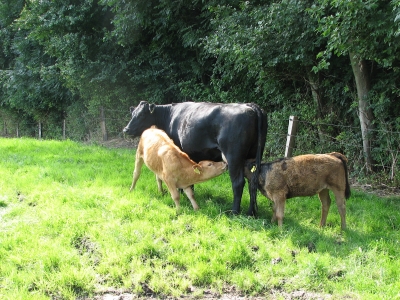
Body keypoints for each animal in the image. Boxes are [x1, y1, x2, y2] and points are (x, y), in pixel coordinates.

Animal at [123, 101, 268, 216]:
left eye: (141, 115)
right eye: (132, 114)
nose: (126, 129)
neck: (169, 115)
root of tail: (250, 106)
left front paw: (182, 192)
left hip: (234, 157)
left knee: (238, 183)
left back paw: (234, 212)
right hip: (253, 157)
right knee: (252, 183)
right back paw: (251, 213)